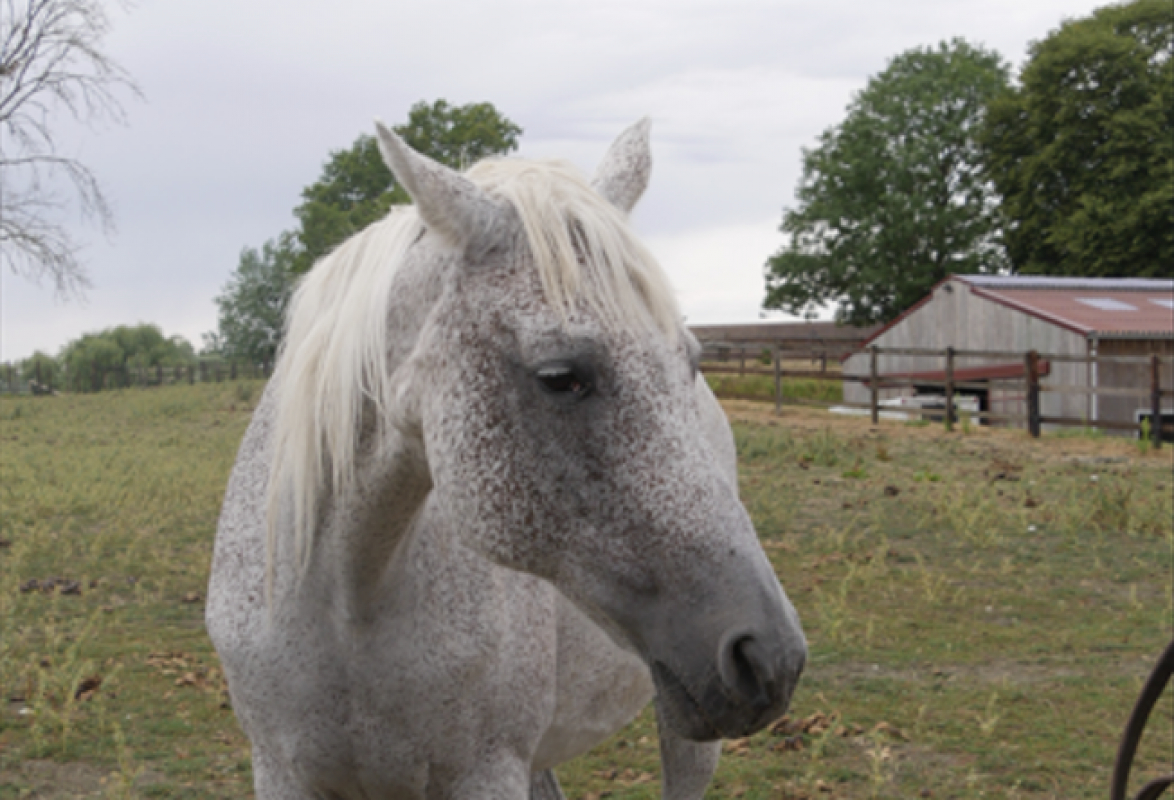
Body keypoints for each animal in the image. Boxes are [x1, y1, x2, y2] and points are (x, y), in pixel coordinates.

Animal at [206, 119, 806, 799]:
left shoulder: (485, 771)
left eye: (691, 359)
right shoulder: (282, 772)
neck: (346, 601)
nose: (773, 657)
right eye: (560, 377)